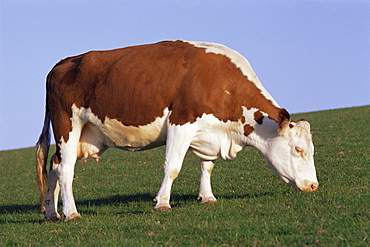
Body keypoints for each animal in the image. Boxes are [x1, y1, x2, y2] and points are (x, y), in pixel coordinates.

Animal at [35, 40, 318, 222]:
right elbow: (172, 167)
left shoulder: (207, 132)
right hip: (67, 125)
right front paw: (162, 203)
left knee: (55, 165)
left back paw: (52, 212)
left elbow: (207, 166)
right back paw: (71, 213)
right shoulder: (181, 123)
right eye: (298, 149)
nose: (314, 185)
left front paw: (207, 197)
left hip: (86, 134)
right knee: (66, 169)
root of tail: (64, 62)